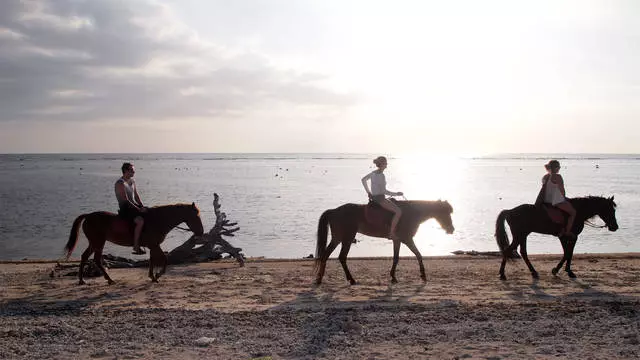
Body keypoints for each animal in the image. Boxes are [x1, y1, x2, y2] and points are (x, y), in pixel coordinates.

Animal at [63, 202, 204, 284]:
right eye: (196, 216)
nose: (201, 232)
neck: (158, 220)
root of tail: (88, 216)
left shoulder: (153, 245)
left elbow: (152, 260)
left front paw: (152, 276)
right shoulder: (154, 245)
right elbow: (164, 258)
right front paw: (158, 274)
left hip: (94, 242)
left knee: (84, 256)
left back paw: (82, 280)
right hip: (99, 242)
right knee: (97, 259)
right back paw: (109, 279)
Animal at [314, 198, 456, 286]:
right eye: (445, 213)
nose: (451, 229)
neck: (411, 213)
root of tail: (334, 211)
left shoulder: (397, 240)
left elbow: (396, 258)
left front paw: (393, 277)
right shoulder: (407, 239)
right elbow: (418, 255)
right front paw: (423, 275)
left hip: (337, 239)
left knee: (326, 255)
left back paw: (320, 278)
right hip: (347, 239)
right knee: (342, 257)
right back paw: (351, 279)